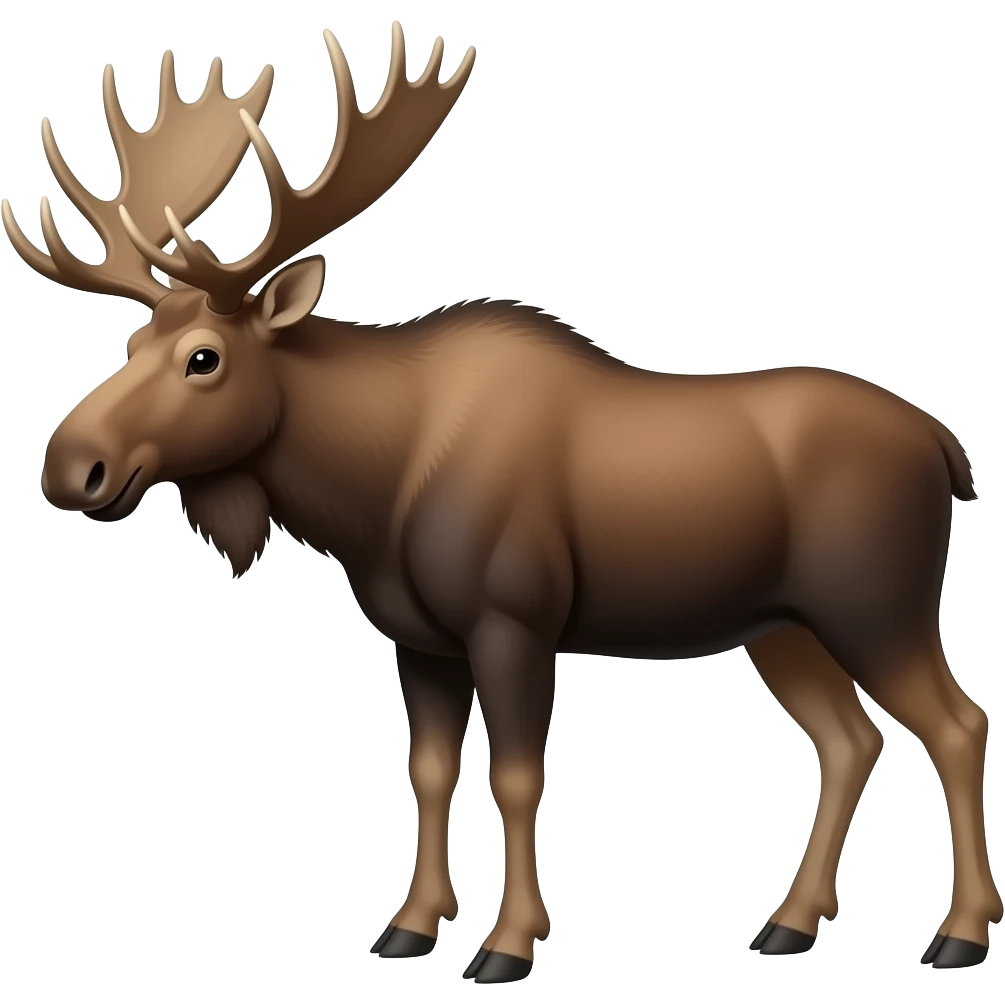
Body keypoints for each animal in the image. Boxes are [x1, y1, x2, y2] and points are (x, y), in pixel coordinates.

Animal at [7, 24, 999, 981]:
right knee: (849, 740)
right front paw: (408, 926)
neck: (371, 493)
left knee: (956, 723)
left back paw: (958, 933)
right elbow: (428, 769)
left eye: (204, 358)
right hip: (780, 625)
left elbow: (516, 778)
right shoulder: (418, 638)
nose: (71, 464)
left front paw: (507, 942)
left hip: (874, 603)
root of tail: (946, 447)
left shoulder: (514, 619)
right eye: (131, 344)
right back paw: (789, 923)